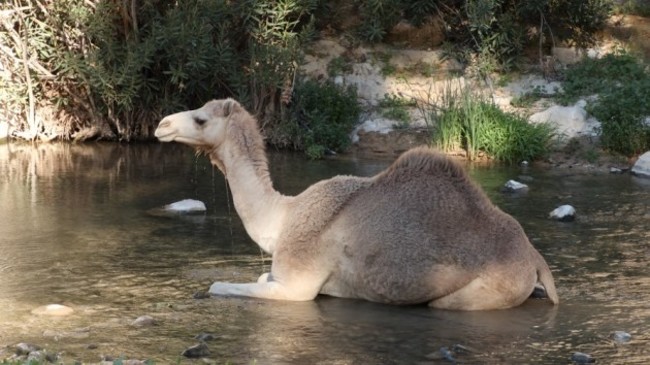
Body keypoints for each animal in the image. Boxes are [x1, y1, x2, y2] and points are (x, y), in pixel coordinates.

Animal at [156, 98, 556, 308]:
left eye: (200, 118)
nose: (162, 125)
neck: (283, 217)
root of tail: (534, 258)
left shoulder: (296, 284)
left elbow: (218, 286)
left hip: (481, 290)